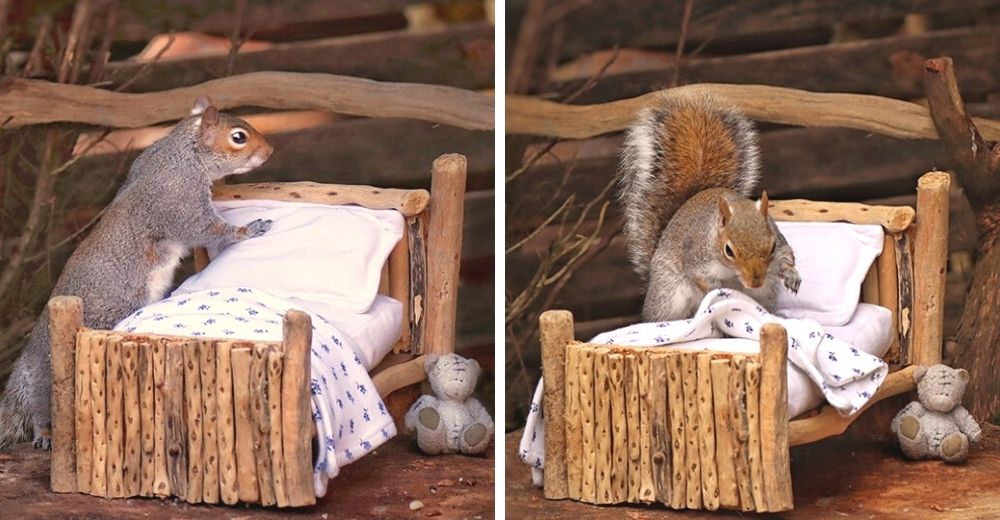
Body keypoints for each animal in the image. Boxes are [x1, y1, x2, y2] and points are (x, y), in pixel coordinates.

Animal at [0, 97, 274, 450]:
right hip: (51, 376)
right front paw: (249, 230)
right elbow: (207, 229)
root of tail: (26, 364)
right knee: (43, 408)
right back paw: (45, 433)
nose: (269, 151)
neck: (183, 153)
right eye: (238, 137)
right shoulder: (179, 200)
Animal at [620, 93, 800, 320]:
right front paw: (719, 290)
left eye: (772, 246)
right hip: (667, 295)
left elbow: (787, 254)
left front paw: (792, 274)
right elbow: (699, 277)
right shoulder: (696, 256)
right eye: (728, 250)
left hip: (765, 294)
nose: (755, 282)